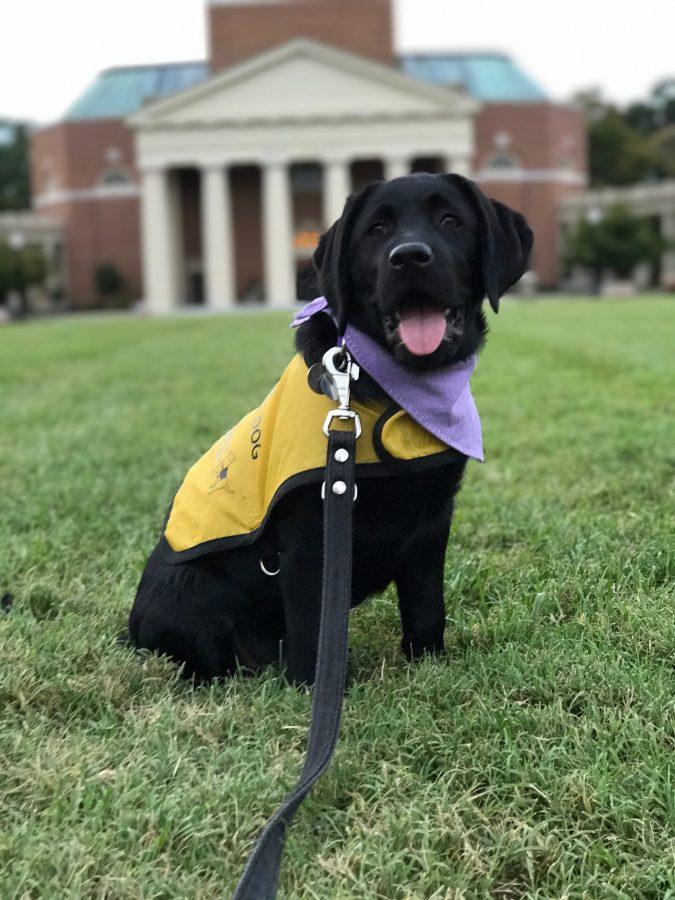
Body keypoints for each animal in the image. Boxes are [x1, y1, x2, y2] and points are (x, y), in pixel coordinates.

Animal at [129, 174, 532, 684]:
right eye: (376, 230)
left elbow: (426, 609)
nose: (409, 256)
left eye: (451, 220)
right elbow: (312, 629)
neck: (397, 390)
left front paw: (428, 663)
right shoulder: (309, 536)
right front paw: (315, 686)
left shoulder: (433, 521)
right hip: (192, 590)